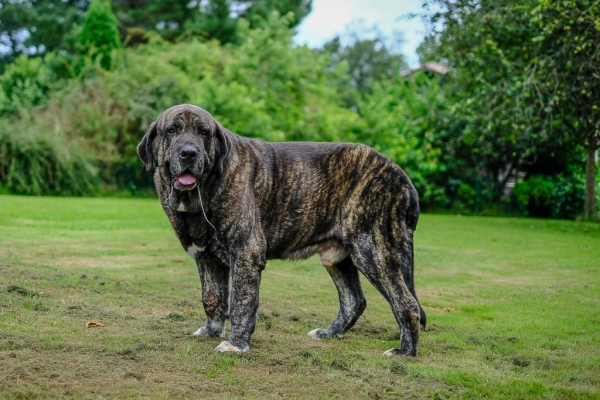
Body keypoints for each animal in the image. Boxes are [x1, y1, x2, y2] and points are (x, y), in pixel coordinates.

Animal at [137, 103, 426, 356]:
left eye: (203, 132)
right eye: (171, 131)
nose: (189, 153)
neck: (202, 192)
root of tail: (402, 176)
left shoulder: (246, 253)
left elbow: (241, 301)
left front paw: (236, 343)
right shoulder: (206, 258)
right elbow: (212, 298)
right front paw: (211, 331)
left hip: (371, 250)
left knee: (406, 302)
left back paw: (404, 352)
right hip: (337, 257)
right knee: (354, 301)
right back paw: (330, 333)